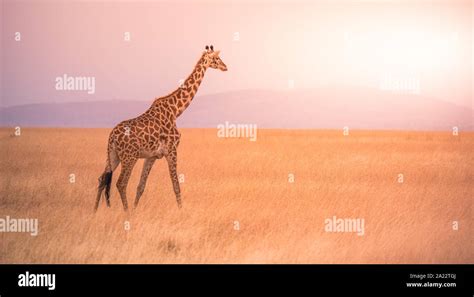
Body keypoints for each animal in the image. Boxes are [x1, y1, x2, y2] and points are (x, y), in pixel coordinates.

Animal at [94, 44, 228, 210]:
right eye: (216, 58)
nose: (225, 67)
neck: (175, 111)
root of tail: (111, 136)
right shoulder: (171, 150)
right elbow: (176, 185)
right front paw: (181, 210)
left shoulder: (151, 156)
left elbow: (141, 186)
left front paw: (136, 209)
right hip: (129, 157)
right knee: (121, 183)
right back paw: (126, 212)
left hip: (113, 155)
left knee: (102, 179)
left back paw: (95, 211)